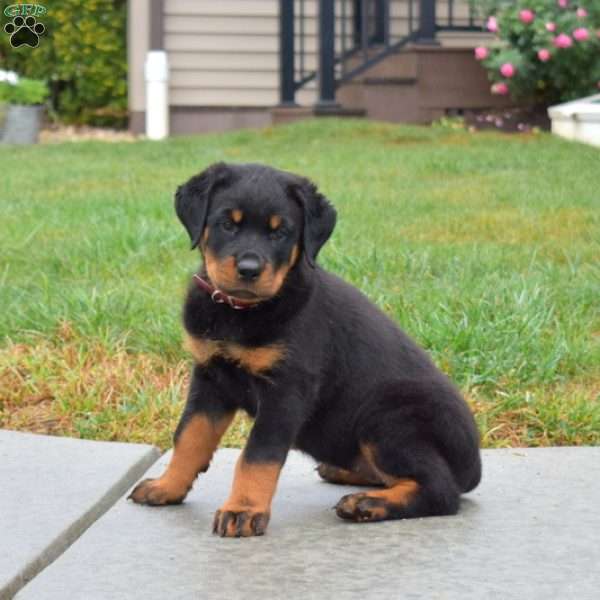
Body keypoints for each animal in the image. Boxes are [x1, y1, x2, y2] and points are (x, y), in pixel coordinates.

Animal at [129, 162, 480, 536]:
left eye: (280, 232)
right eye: (227, 223)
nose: (249, 270)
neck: (240, 312)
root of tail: (473, 465)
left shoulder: (286, 389)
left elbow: (258, 455)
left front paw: (243, 510)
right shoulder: (210, 377)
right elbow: (189, 437)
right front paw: (166, 487)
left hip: (388, 418)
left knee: (441, 490)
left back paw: (367, 504)